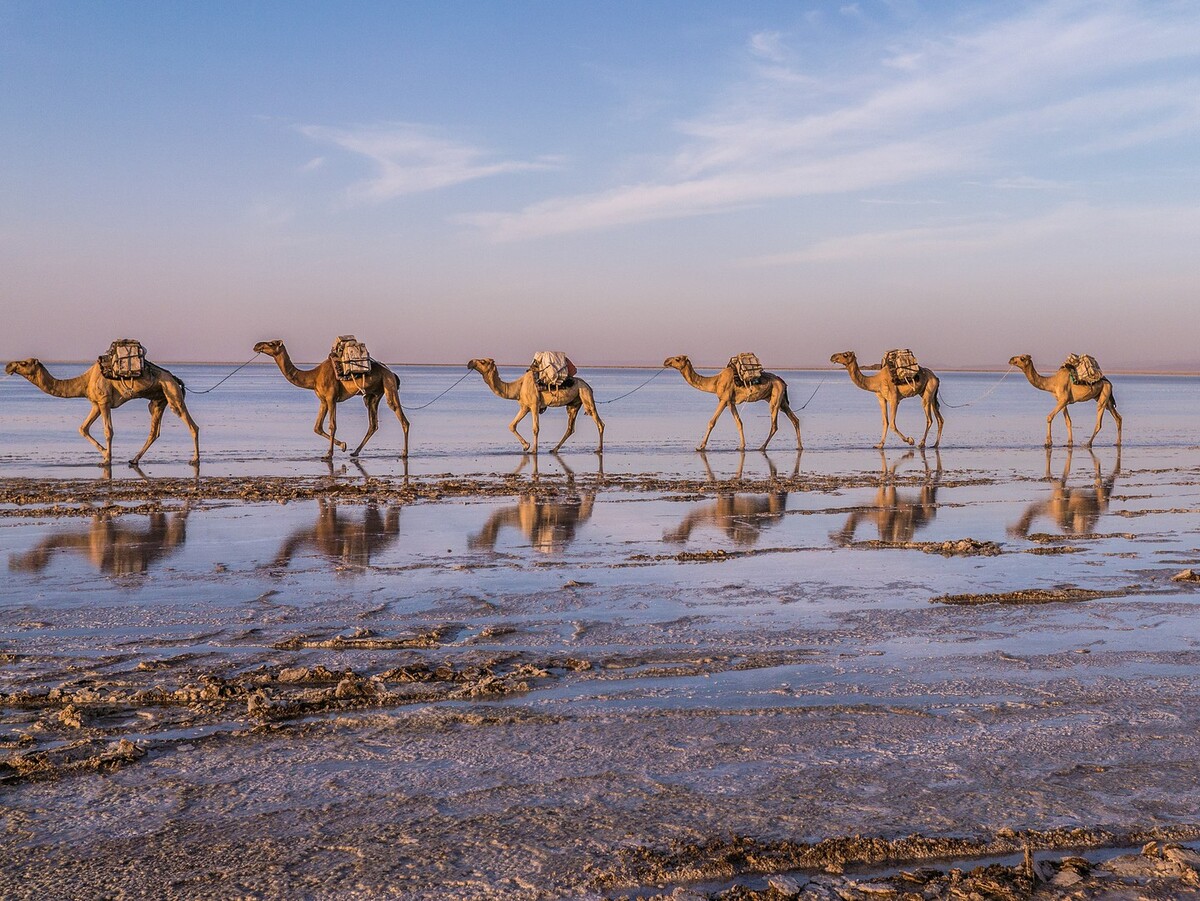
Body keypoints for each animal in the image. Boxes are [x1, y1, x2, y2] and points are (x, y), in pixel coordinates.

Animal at [4, 355, 199, 465]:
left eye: (24, 363)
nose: (7, 366)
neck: (85, 381)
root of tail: (175, 378)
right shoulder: (96, 404)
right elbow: (83, 428)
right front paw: (105, 453)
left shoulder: (104, 401)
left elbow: (108, 431)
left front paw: (106, 460)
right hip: (158, 400)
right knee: (154, 432)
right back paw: (134, 460)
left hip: (172, 393)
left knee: (191, 425)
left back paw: (195, 459)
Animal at [250, 340, 410, 460]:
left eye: (271, 343)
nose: (257, 345)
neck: (313, 377)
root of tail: (392, 373)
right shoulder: (323, 400)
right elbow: (317, 427)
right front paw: (344, 446)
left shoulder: (331, 398)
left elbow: (332, 425)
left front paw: (329, 454)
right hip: (374, 395)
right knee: (373, 424)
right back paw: (355, 452)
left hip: (388, 384)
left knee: (400, 416)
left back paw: (404, 453)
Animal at [465, 362, 604, 458]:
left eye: (483, 362)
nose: (470, 363)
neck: (518, 387)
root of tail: (588, 386)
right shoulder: (525, 407)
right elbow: (512, 425)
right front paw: (526, 446)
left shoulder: (534, 405)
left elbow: (535, 428)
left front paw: (533, 450)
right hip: (574, 404)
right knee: (570, 428)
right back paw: (554, 449)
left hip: (585, 395)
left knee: (599, 422)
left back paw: (599, 449)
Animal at [662, 352, 801, 451]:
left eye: (678, 359)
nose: (666, 361)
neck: (715, 382)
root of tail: (782, 382)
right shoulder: (730, 402)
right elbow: (739, 422)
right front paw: (741, 446)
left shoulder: (723, 399)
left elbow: (712, 422)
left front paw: (700, 447)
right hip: (781, 401)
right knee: (795, 419)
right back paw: (799, 446)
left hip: (775, 399)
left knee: (774, 425)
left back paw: (762, 447)